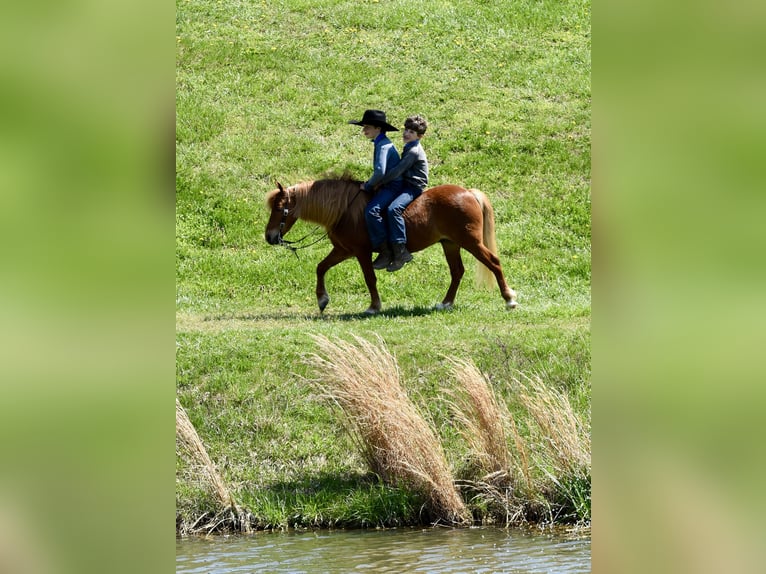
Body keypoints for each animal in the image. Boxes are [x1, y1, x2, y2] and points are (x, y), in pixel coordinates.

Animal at [264, 176, 518, 315]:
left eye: (279, 208)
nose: (269, 236)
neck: (345, 209)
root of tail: (468, 193)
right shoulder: (343, 250)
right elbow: (321, 267)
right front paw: (322, 300)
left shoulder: (361, 252)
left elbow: (369, 278)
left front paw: (374, 306)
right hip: (450, 244)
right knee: (457, 272)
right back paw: (445, 303)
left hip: (470, 242)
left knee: (493, 262)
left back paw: (509, 299)